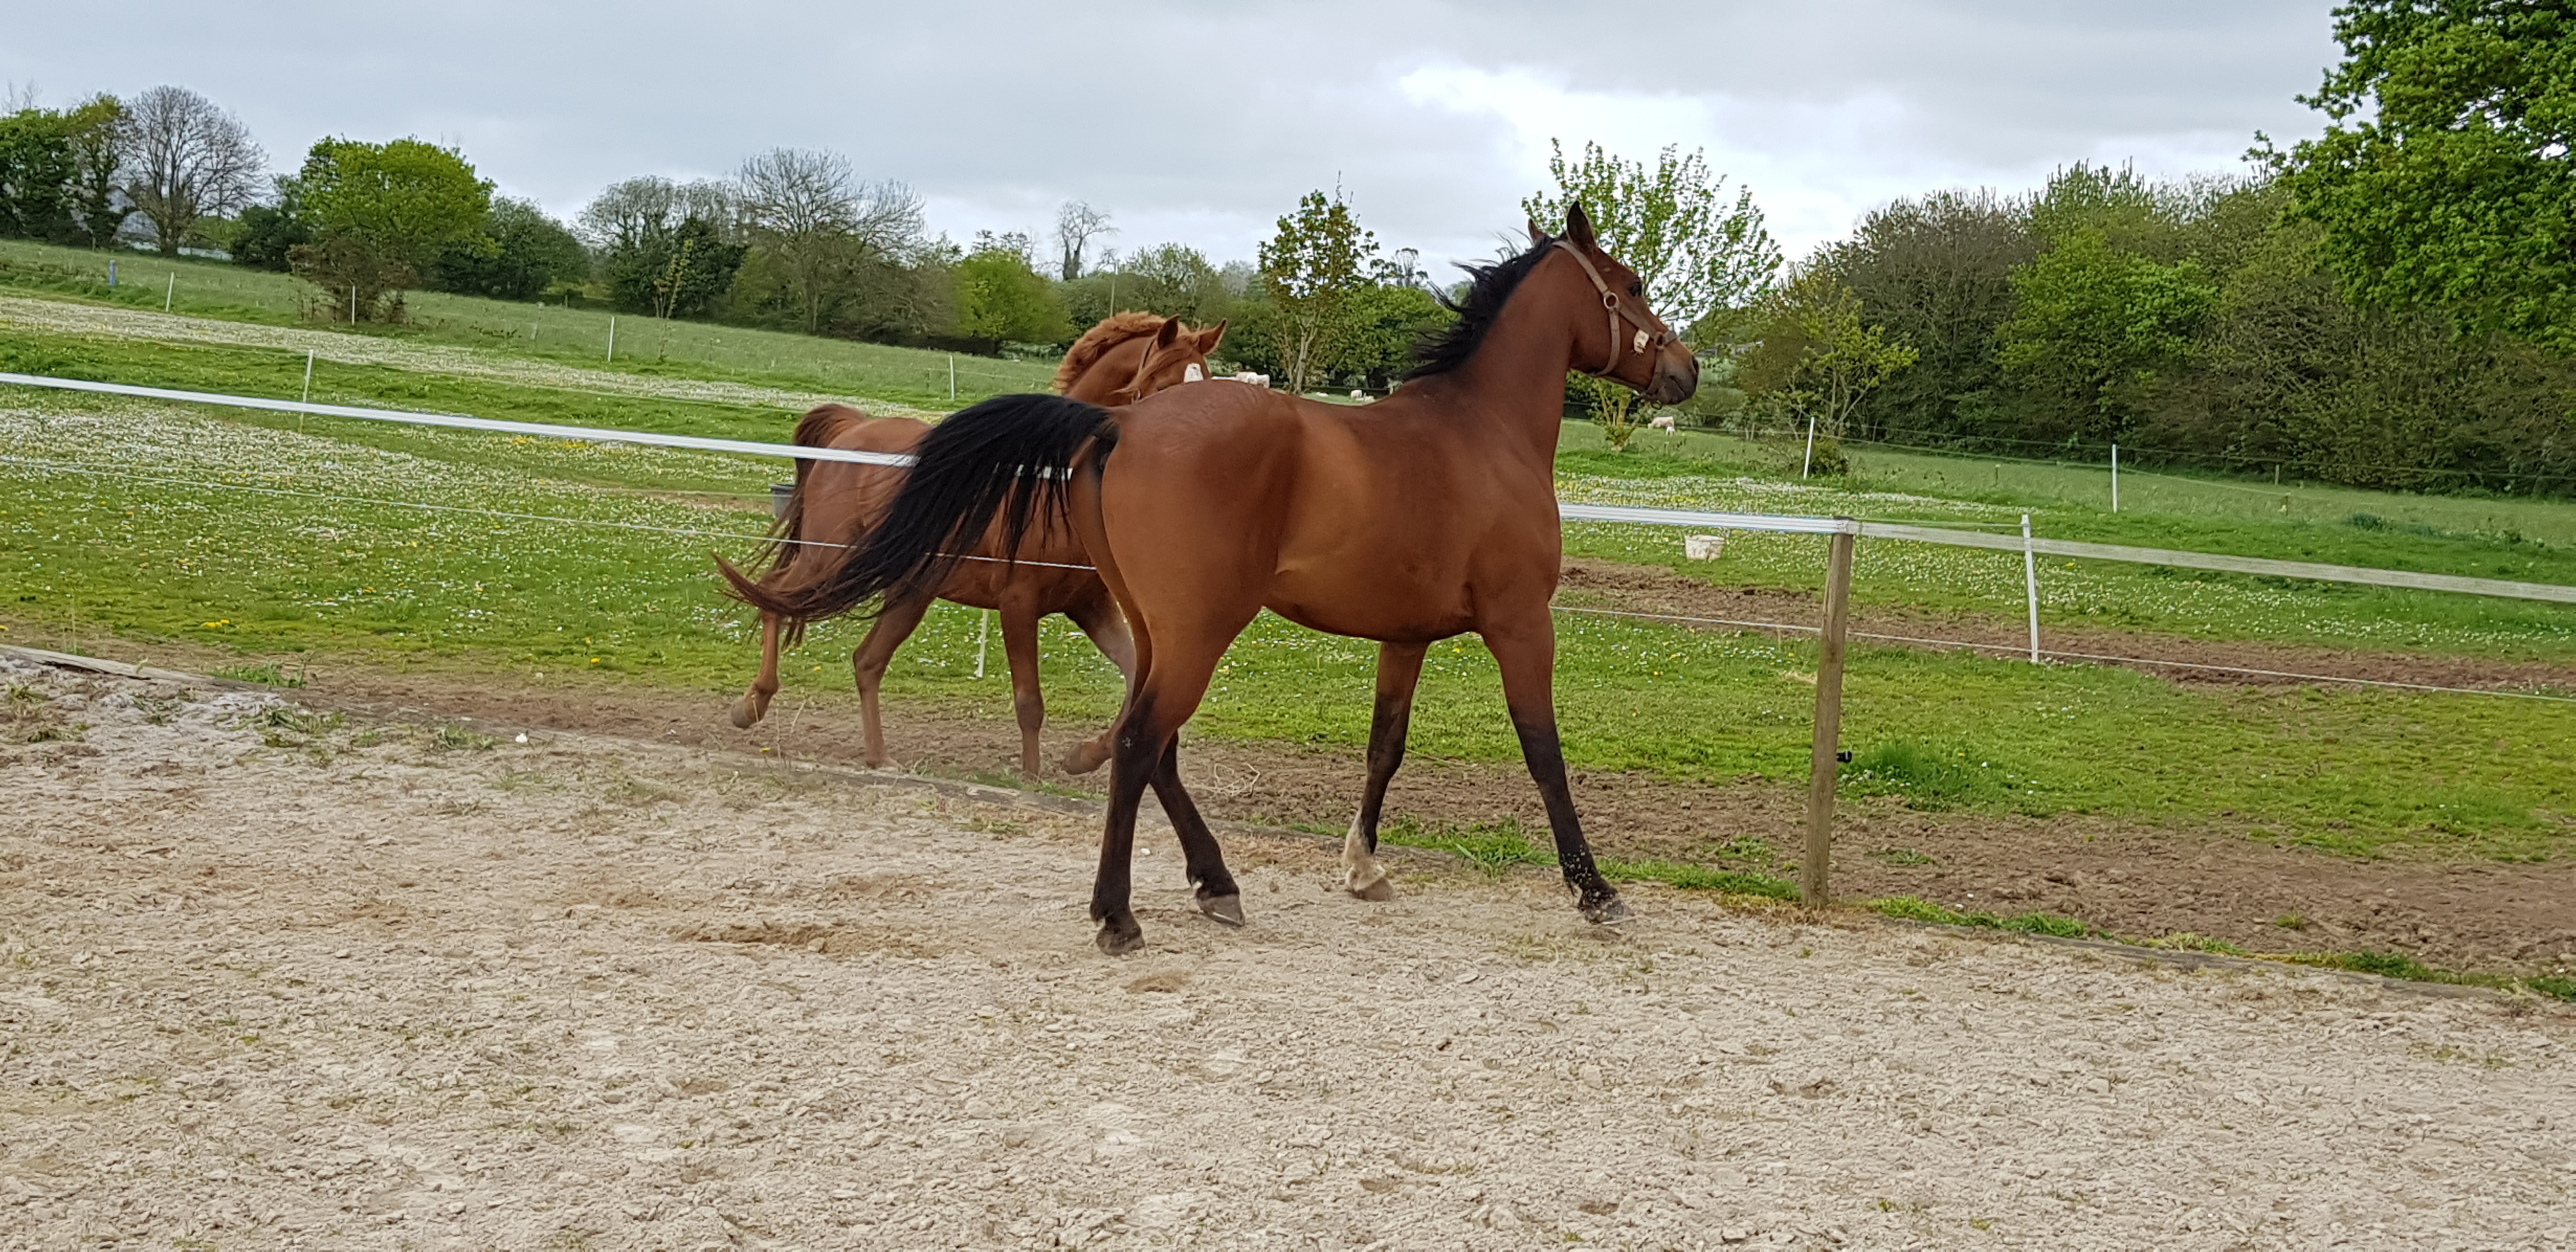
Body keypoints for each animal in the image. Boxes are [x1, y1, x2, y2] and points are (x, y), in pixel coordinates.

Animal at [720, 312, 1227, 778]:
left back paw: (880, 758)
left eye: (1207, 384)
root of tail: (853, 428)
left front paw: (1084, 756)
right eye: (1162, 386)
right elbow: (1030, 701)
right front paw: (1031, 777)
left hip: (910, 591)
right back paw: (752, 705)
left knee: (867, 661)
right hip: (830, 557)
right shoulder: (1018, 604)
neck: (1051, 482)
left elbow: (1133, 676)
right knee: (774, 593)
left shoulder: (1088, 606)